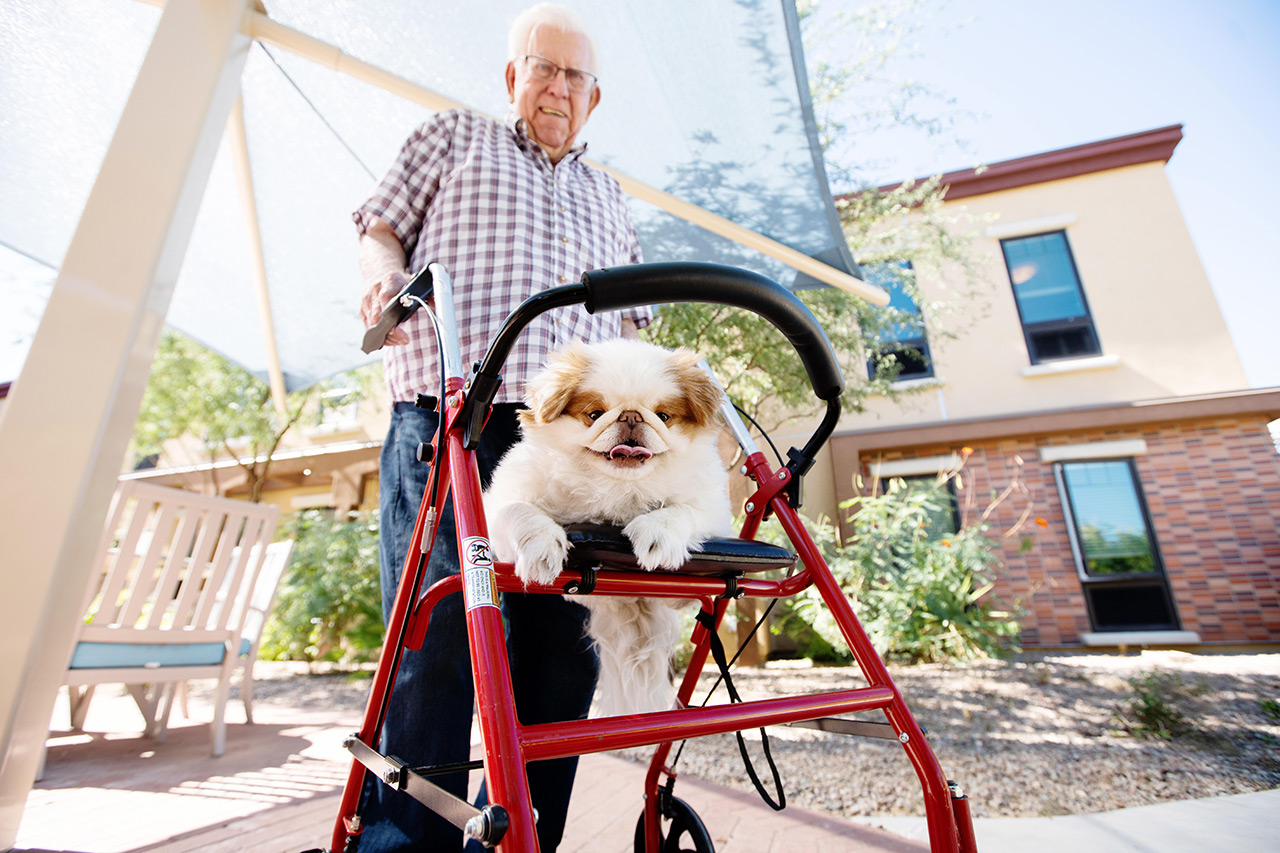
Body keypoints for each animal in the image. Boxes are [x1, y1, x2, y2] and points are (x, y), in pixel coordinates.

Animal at [486, 335, 737, 712]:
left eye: (662, 416)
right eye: (594, 414)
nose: (631, 416)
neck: (618, 488)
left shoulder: (713, 511)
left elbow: (680, 512)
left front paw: (657, 534)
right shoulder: (499, 504)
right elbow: (521, 512)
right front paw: (542, 546)